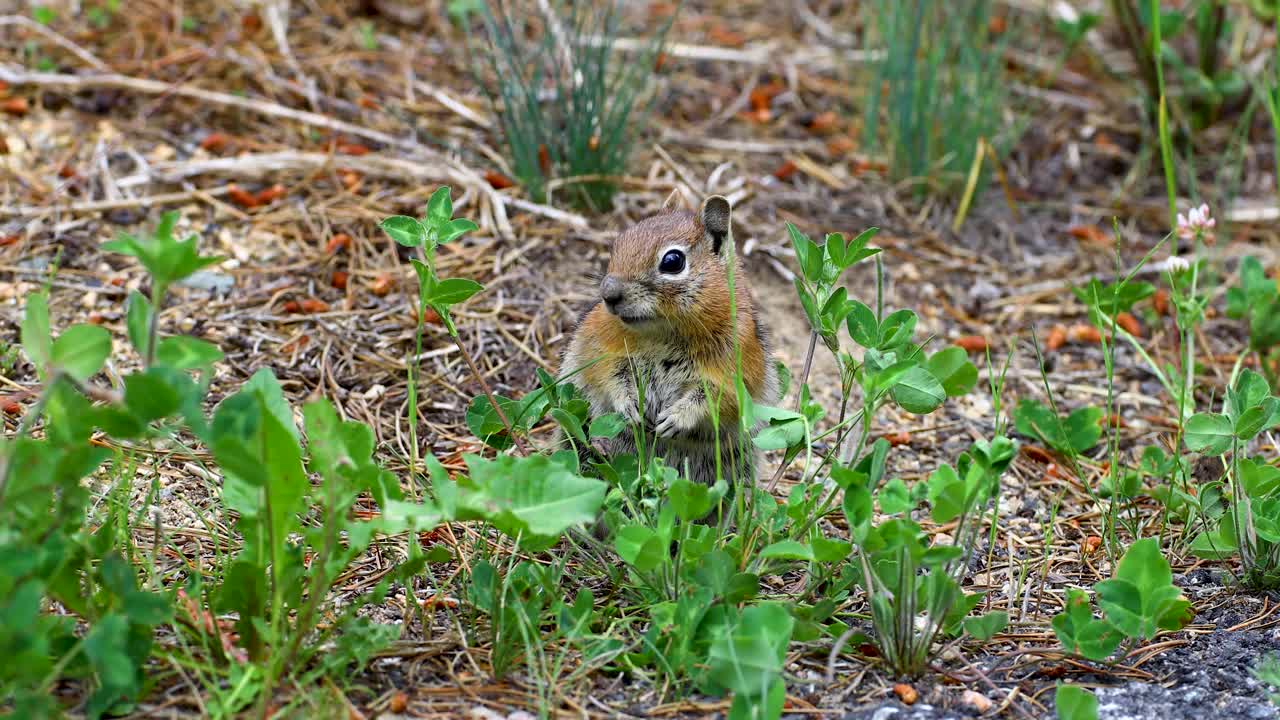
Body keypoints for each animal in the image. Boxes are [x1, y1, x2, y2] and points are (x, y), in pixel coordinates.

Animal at [559, 195, 779, 499]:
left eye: (673, 261)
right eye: (619, 243)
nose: (608, 294)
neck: (663, 333)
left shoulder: (738, 367)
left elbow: (718, 399)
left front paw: (676, 418)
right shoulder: (599, 348)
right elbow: (608, 375)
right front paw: (628, 405)